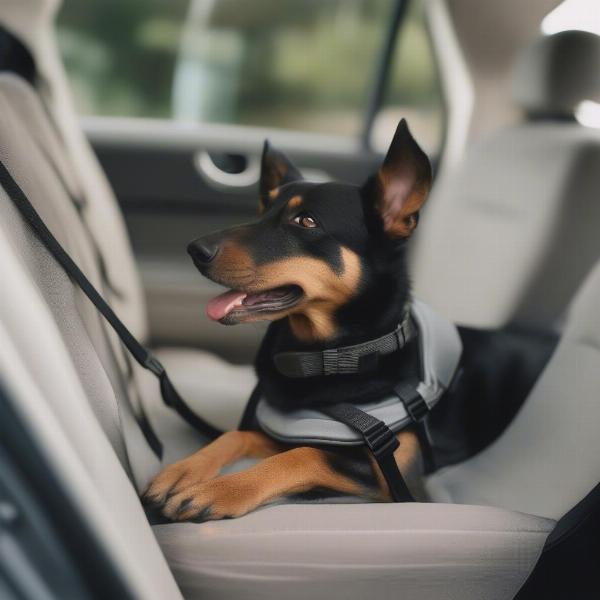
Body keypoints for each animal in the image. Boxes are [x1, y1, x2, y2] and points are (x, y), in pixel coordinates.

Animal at [143, 119, 434, 524]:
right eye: (262, 212)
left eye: (306, 221)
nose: (195, 250)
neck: (329, 356)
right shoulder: (277, 428)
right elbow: (235, 435)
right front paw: (183, 471)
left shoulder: (397, 474)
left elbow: (304, 454)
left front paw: (217, 490)